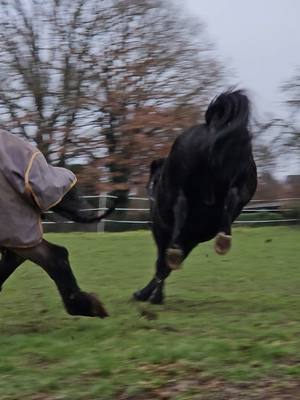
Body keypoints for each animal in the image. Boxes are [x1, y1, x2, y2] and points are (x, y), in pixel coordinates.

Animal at [134, 90, 258, 304]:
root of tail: (213, 128)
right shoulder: (192, 239)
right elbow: (166, 267)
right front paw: (153, 294)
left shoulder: (161, 232)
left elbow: (161, 263)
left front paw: (150, 295)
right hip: (240, 187)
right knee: (231, 201)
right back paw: (223, 238)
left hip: (179, 191)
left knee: (181, 207)